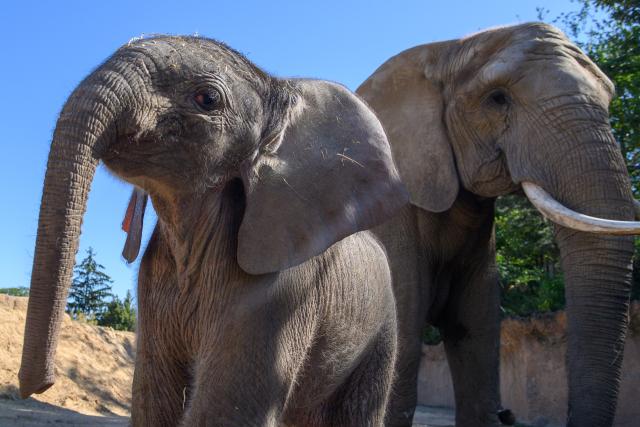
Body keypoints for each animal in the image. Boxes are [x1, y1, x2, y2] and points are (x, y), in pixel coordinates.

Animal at [18, 36, 409, 426]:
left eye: (207, 99)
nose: (39, 386)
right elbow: (154, 398)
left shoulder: (281, 292)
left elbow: (224, 409)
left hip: (383, 328)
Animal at [357, 22, 640, 427]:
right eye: (497, 99)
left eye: (609, 98)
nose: (510, 415)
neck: (444, 50)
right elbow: (404, 337)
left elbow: (477, 333)